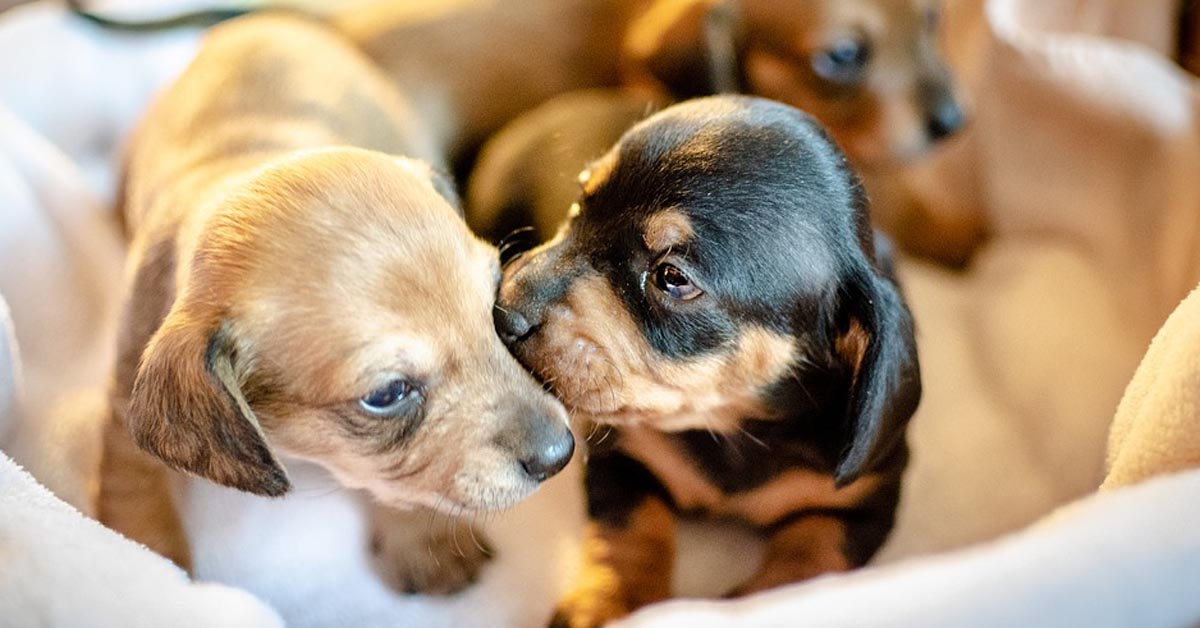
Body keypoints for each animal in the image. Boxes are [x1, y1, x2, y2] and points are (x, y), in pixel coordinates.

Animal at [98, 13, 576, 595]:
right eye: (387, 394)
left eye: (494, 307)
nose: (560, 454)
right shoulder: (123, 413)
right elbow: (135, 502)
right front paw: (151, 574)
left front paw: (423, 539)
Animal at [492, 94, 921, 628]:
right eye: (578, 206)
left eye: (672, 277)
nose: (502, 311)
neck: (733, 425)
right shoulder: (625, 457)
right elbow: (631, 531)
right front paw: (607, 603)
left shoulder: (866, 500)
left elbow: (813, 555)